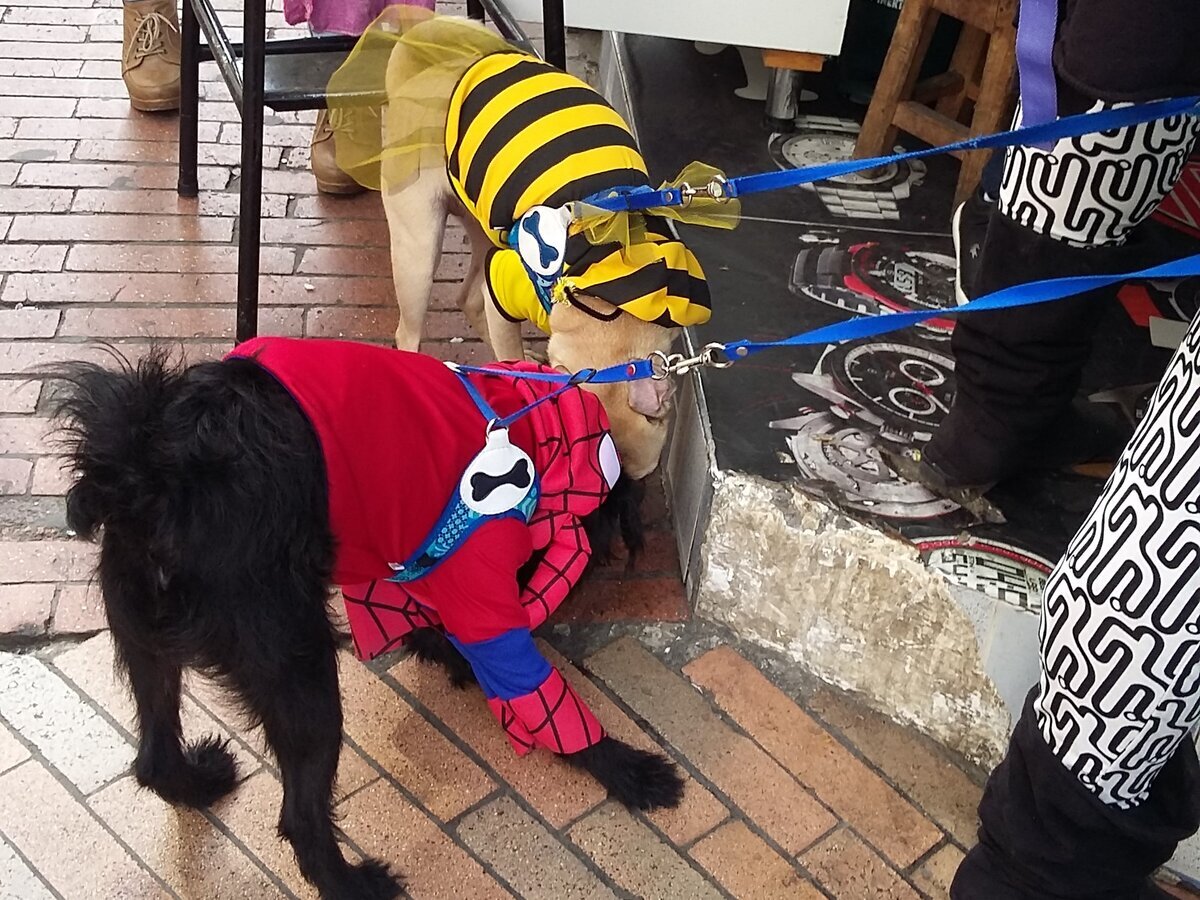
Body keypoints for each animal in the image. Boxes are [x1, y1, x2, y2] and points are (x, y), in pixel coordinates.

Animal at [46, 348, 681, 900]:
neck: (533, 417)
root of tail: (148, 466)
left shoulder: (398, 572)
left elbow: (423, 622)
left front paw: (446, 653)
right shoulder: (483, 605)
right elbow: (535, 691)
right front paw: (624, 767)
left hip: (142, 635)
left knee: (153, 756)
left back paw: (190, 781)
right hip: (301, 676)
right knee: (300, 817)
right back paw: (349, 884)